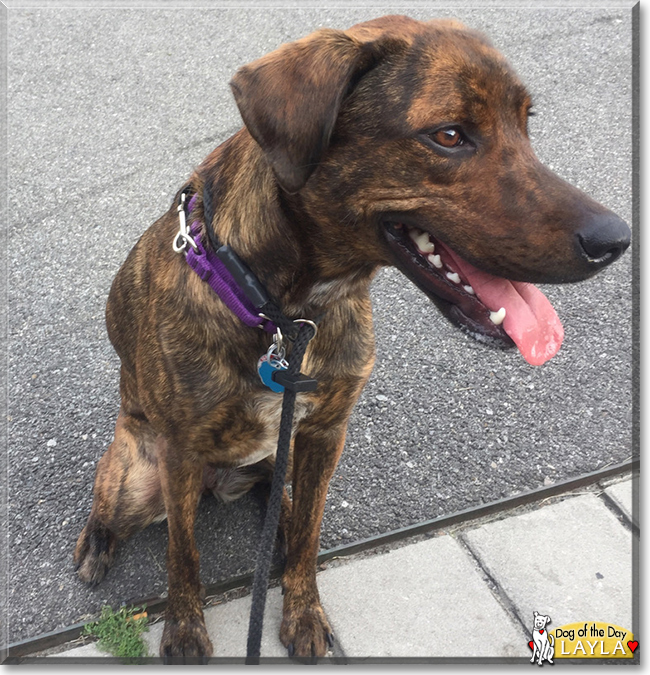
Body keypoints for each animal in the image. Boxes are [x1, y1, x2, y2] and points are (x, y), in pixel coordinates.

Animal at [73, 14, 624, 660]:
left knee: (280, 497)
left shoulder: (325, 434)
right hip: (138, 476)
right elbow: (182, 556)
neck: (288, 313)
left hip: (279, 452)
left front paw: (303, 610)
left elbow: (310, 538)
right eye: (449, 135)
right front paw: (184, 631)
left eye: (526, 123)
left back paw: (279, 521)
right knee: (111, 505)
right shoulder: (181, 452)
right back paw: (95, 547)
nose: (617, 239)